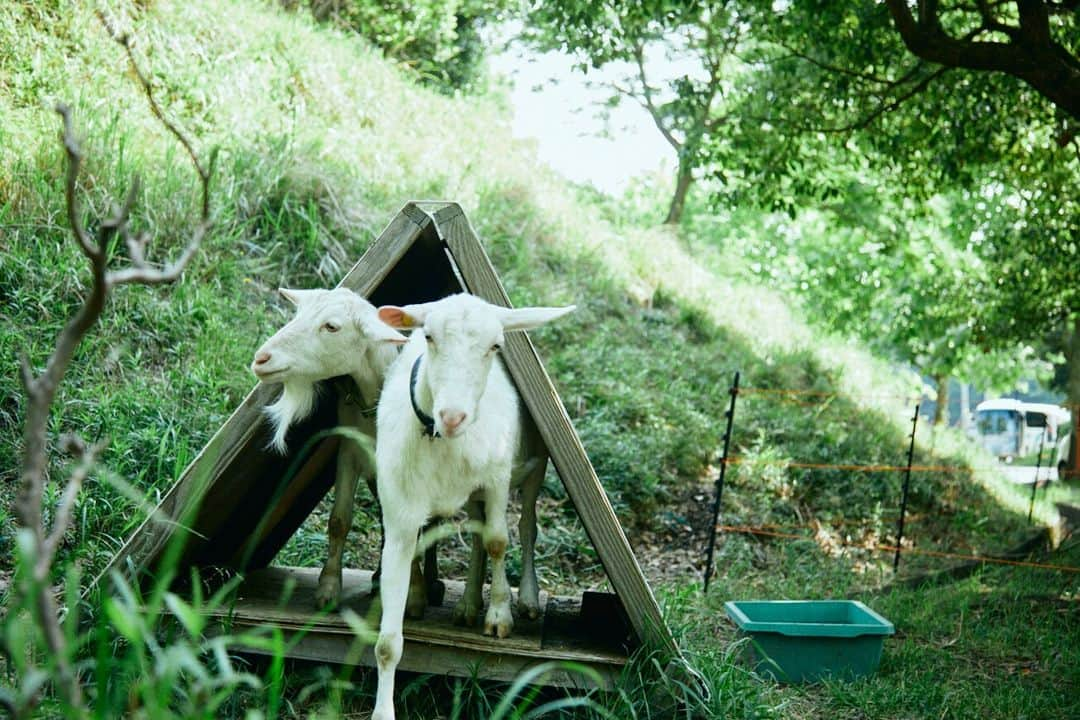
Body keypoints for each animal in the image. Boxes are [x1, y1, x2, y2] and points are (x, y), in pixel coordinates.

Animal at [371, 293, 574, 720]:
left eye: (495, 346)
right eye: (428, 336)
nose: (453, 416)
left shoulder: (496, 478)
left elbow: (499, 541)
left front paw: (499, 615)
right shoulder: (400, 516)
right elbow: (386, 643)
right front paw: (382, 710)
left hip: (533, 468)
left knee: (525, 528)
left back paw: (526, 599)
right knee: (479, 535)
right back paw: (466, 606)